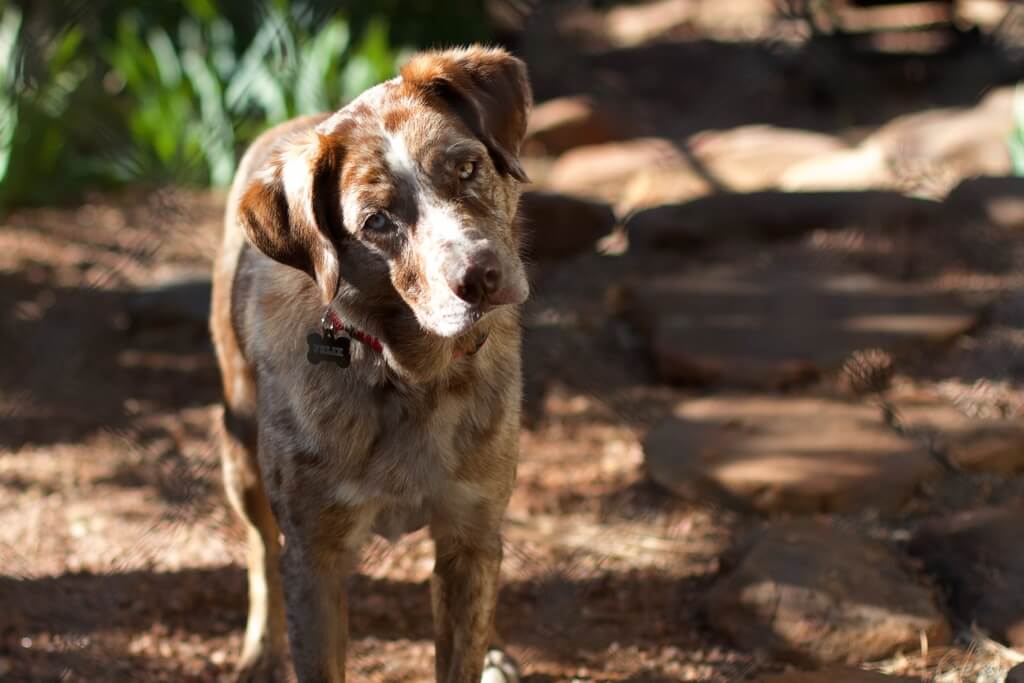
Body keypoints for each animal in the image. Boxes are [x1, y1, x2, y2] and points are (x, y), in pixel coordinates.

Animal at [206, 46, 528, 683]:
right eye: (377, 221)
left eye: (467, 168)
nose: (480, 278)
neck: (413, 375)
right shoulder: (315, 557)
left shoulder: (472, 533)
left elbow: (462, 646)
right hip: (239, 443)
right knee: (259, 548)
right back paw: (258, 653)